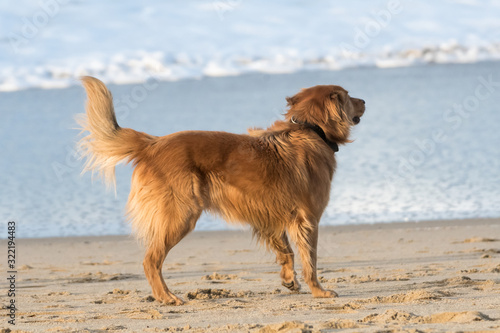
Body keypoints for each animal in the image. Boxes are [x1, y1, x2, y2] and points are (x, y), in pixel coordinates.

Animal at [79, 76, 368, 304]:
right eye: (348, 96)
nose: (365, 101)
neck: (311, 129)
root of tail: (153, 144)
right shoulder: (308, 220)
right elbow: (311, 261)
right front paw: (319, 291)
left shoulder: (271, 217)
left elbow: (285, 251)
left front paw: (289, 280)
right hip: (181, 216)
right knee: (151, 260)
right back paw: (167, 297)